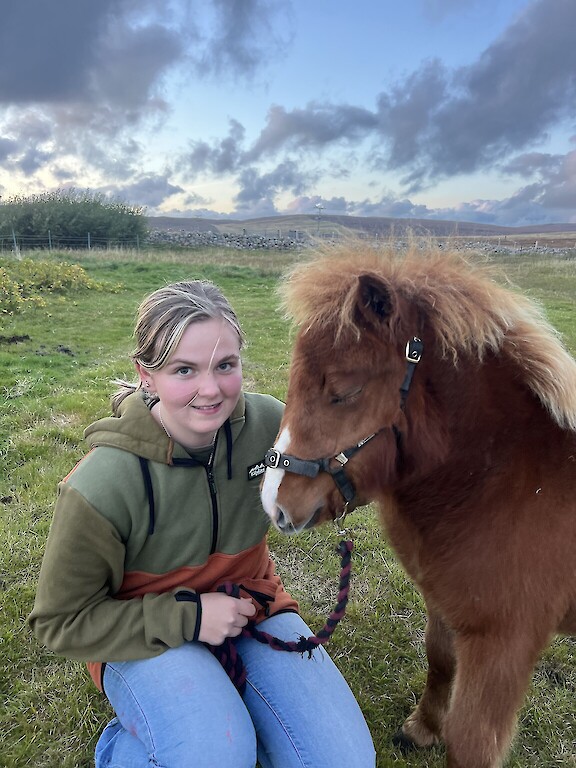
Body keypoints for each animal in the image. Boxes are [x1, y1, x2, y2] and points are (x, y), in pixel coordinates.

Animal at [260, 242, 576, 768]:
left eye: (344, 391)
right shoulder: (445, 602)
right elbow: (440, 659)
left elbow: (470, 744)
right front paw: (423, 728)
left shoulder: (503, 645)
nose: (274, 503)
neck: (503, 476)